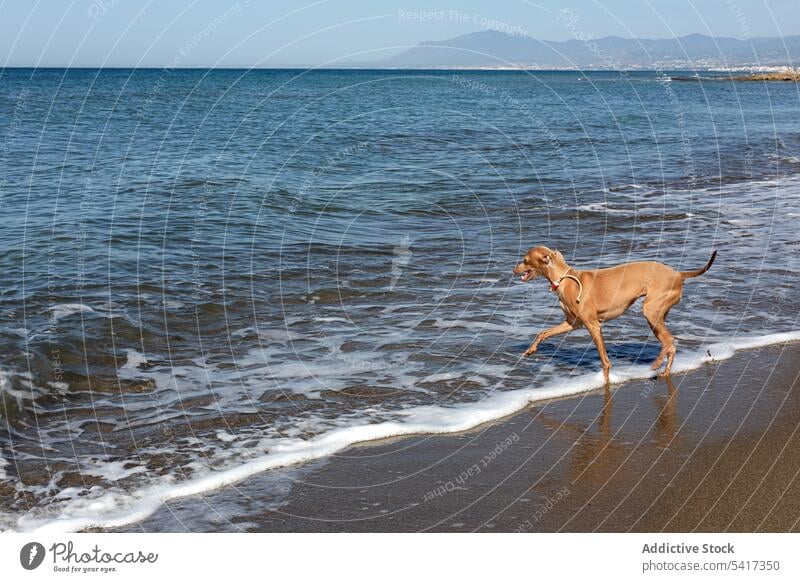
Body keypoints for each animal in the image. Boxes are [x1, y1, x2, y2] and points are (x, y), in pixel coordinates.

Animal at [516, 248, 716, 380]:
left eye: (525, 260)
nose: (513, 269)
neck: (566, 280)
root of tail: (678, 274)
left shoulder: (593, 325)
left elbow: (605, 361)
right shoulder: (573, 323)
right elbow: (543, 333)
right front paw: (530, 350)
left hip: (650, 312)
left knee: (669, 340)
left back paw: (657, 364)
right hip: (657, 318)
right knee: (670, 345)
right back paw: (665, 371)